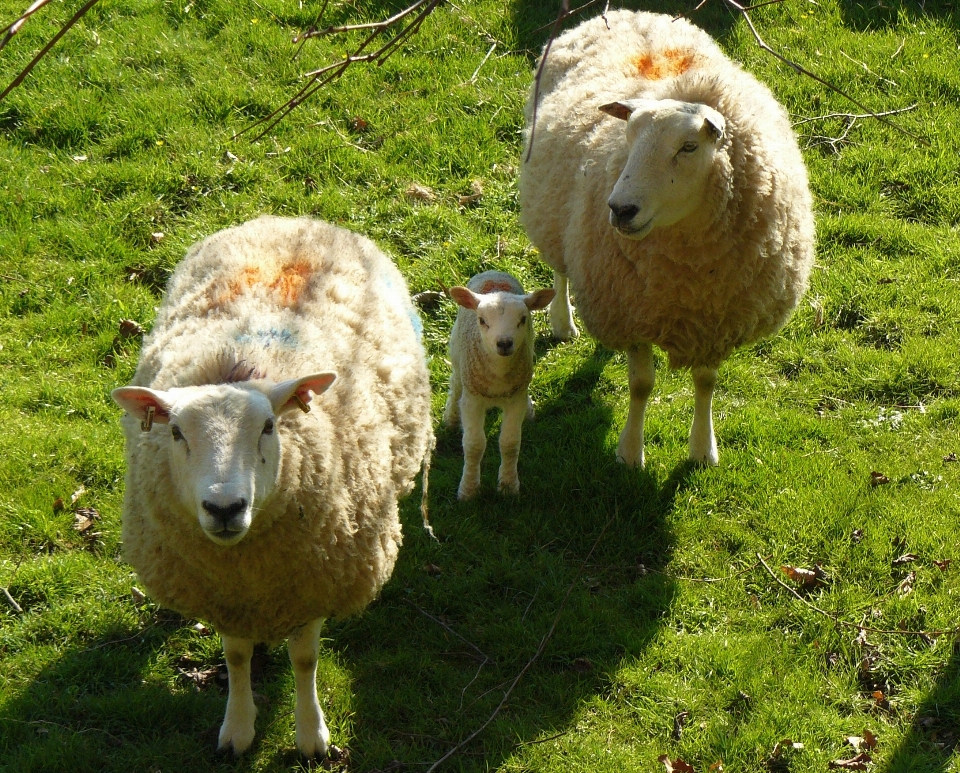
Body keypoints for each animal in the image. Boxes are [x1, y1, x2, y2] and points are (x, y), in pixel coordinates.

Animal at [108, 214, 432, 756]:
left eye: (268, 426)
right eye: (175, 432)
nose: (224, 508)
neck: (249, 572)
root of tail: (293, 220)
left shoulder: (317, 582)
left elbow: (305, 660)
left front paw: (311, 735)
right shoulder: (226, 597)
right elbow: (237, 658)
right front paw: (238, 729)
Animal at [442, 272, 556, 500]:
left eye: (523, 319)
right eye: (482, 320)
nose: (504, 343)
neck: (499, 375)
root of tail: (494, 272)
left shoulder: (515, 399)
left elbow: (510, 443)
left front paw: (508, 486)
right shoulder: (472, 400)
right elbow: (474, 445)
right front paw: (468, 490)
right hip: (458, 355)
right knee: (455, 382)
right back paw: (451, 418)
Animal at [520, 9, 812, 468]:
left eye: (689, 147)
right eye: (628, 137)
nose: (619, 209)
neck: (689, 275)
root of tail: (630, 13)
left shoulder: (714, 322)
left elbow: (706, 382)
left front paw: (702, 449)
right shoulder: (631, 311)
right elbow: (641, 385)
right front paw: (629, 452)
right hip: (554, 209)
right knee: (561, 267)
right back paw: (563, 321)